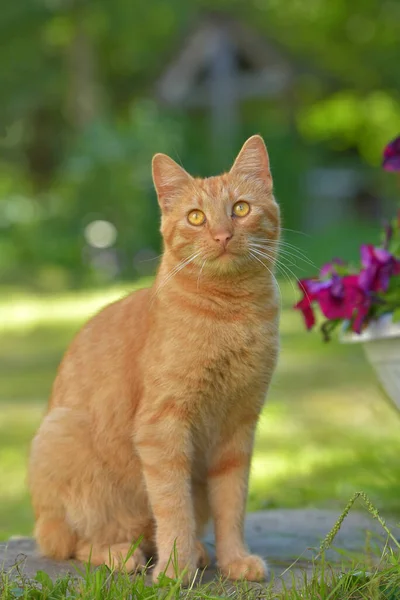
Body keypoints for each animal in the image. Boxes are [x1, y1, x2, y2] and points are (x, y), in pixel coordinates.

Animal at [28, 135, 280, 580]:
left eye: (240, 209)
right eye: (196, 217)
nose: (222, 235)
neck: (232, 314)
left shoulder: (238, 428)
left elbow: (231, 505)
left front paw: (234, 560)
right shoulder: (162, 427)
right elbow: (172, 505)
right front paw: (175, 570)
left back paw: (196, 550)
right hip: (61, 439)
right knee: (68, 542)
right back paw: (123, 555)